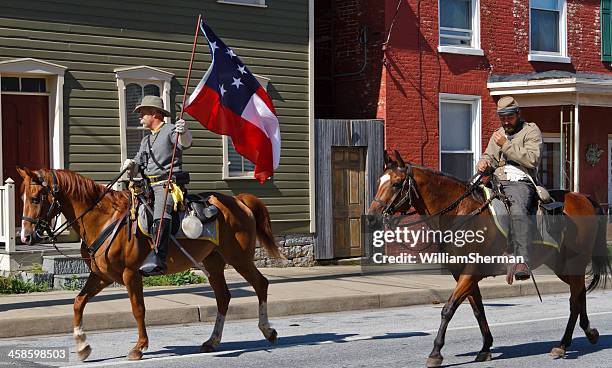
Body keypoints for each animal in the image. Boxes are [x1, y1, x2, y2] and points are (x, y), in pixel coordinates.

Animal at [17, 167, 282, 362]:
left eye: (36, 198)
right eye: (22, 198)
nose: (26, 236)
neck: (104, 218)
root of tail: (239, 200)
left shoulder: (130, 274)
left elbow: (138, 309)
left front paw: (139, 347)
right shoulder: (101, 276)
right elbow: (78, 302)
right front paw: (82, 346)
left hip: (239, 258)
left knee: (261, 284)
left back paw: (268, 330)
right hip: (213, 262)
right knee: (223, 297)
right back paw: (212, 341)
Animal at [366, 151, 608, 366]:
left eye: (397, 184)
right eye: (379, 181)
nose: (370, 218)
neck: (460, 213)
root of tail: (583, 197)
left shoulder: (471, 272)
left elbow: (448, 309)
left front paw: (436, 352)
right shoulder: (463, 275)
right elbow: (478, 310)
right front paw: (485, 348)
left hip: (574, 261)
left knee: (575, 300)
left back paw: (563, 344)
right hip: (562, 266)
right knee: (579, 294)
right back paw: (589, 332)